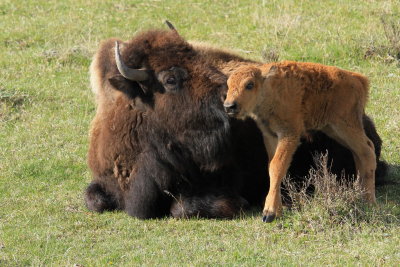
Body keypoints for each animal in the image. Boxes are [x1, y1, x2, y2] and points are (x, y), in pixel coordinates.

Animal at [223, 61, 376, 223]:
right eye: (228, 84)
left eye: (250, 84)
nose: (229, 106)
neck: (269, 88)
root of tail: (358, 80)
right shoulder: (270, 135)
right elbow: (272, 166)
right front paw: (278, 209)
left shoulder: (290, 134)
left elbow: (277, 167)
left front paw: (269, 213)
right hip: (334, 129)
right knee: (360, 152)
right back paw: (360, 193)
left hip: (345, 126)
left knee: (367, 151)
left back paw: (369, 201)